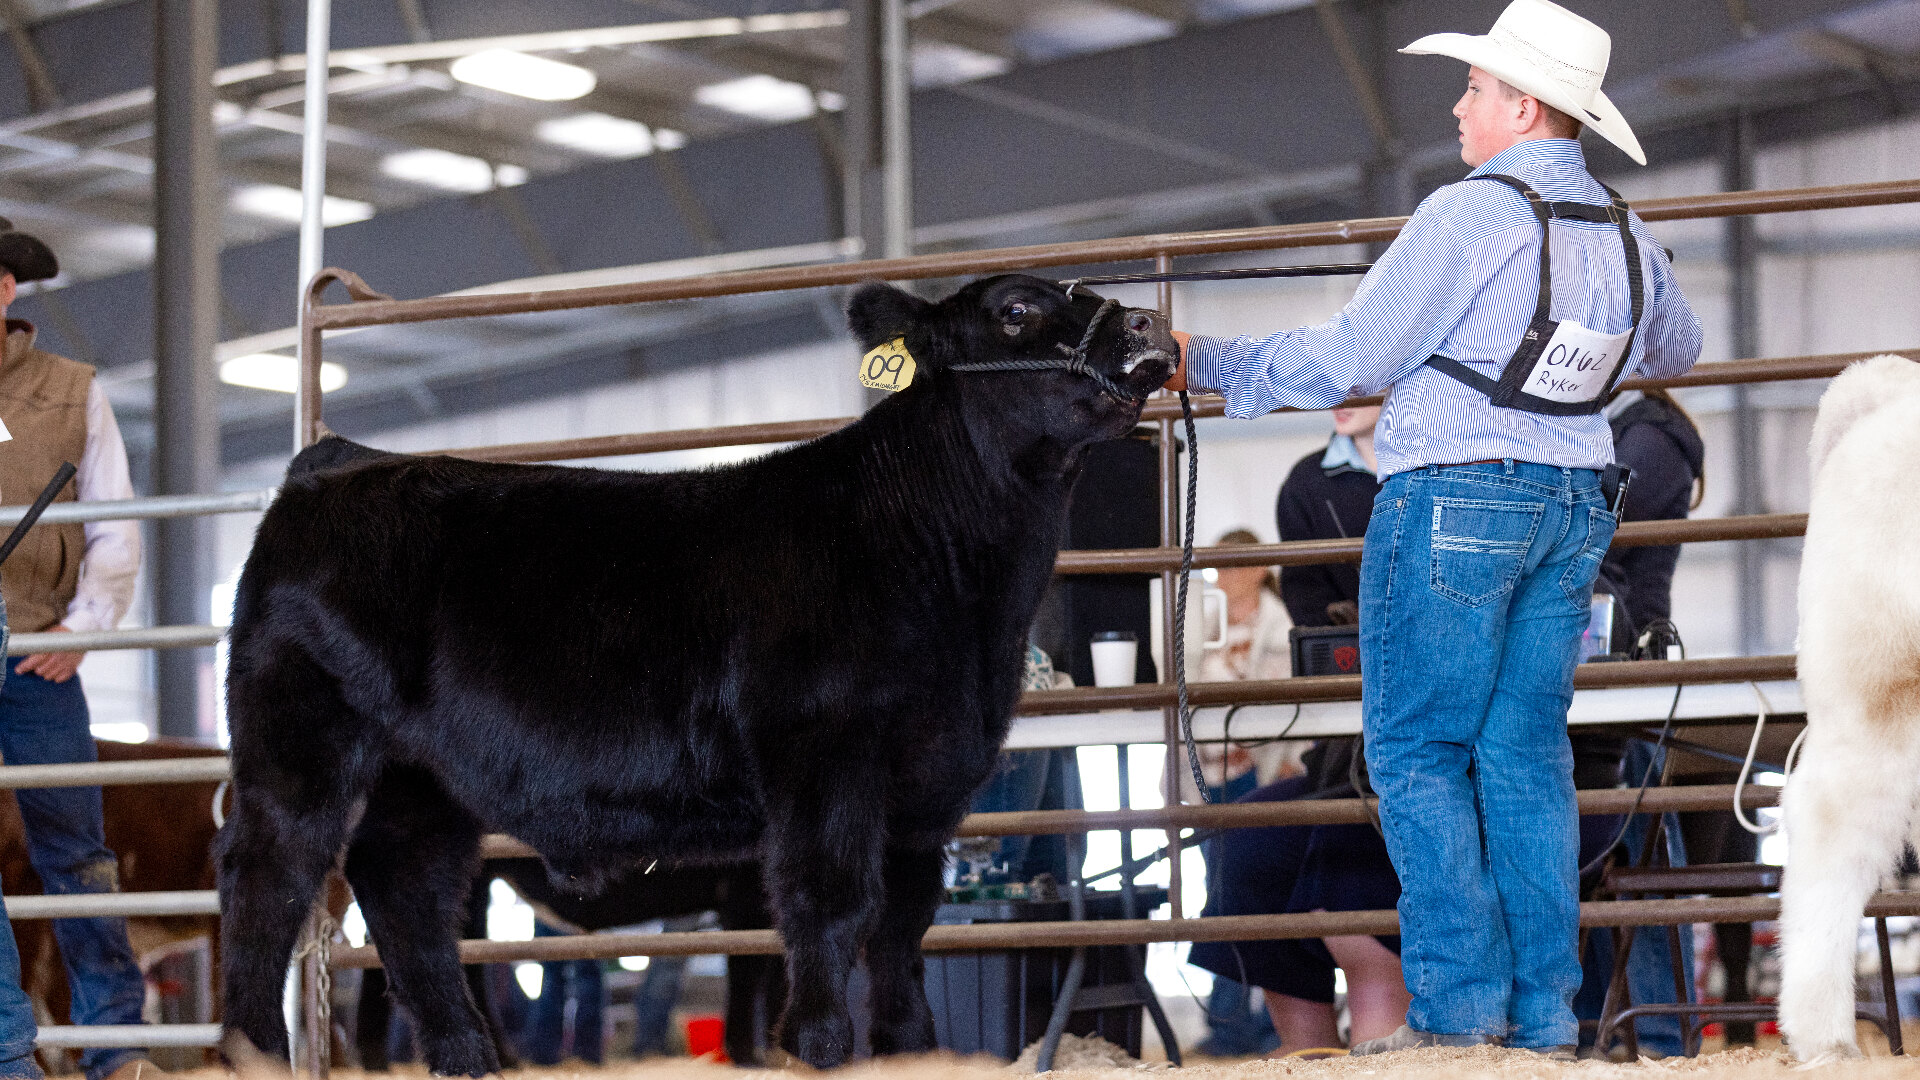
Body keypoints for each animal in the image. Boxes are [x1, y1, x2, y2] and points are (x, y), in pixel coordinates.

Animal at [215, 274, 1177, 1073]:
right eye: (1015, 310)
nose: (1146, 322)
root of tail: (337, 459)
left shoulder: (930, 786)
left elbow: (904, 933)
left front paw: (911, 1052)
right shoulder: (821, 756)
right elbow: (829, 907)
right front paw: (819, 1050)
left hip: (428, 773)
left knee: (403, 884)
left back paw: (465, 1057)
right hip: (297, 733)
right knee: (267, 877)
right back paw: (257, 1053)